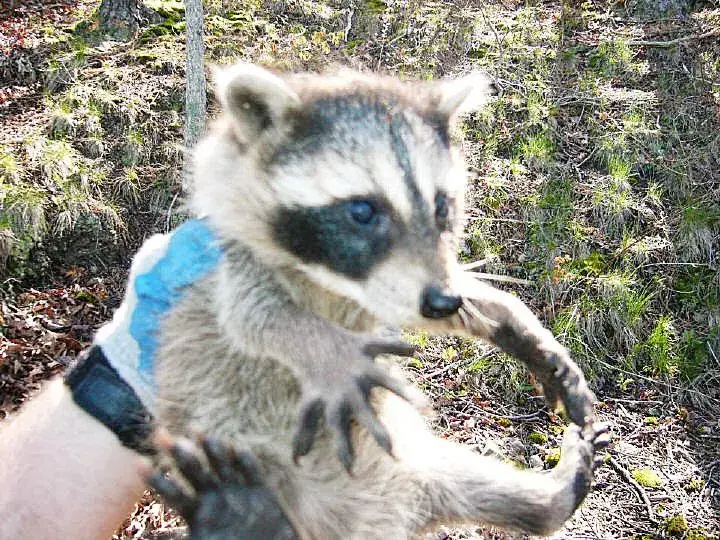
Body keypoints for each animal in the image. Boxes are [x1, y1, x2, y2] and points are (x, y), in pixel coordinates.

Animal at [153, 64, 606, 538]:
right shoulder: (224, 263)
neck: (335, 284)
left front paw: (520, 328)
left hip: (424, 469)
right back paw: (242, 514)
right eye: (363, 211)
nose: (443, 302)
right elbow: (253, 314)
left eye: (441, 205)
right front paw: (329, 353)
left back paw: (553, 496)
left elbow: (463, 293)